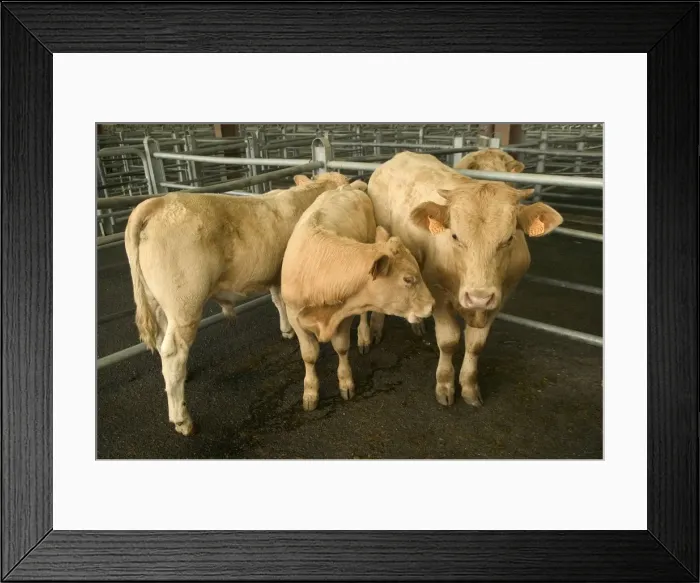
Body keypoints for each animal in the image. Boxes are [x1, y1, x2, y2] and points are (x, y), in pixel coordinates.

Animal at [124, 172, 350, 435]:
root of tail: (157, 203)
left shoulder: (275, 275)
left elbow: (278, 301)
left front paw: (286, 330)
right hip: (184, 306)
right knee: (174, 351)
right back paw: (182, 419)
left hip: (157, 303)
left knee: (162, 344)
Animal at [281, 180, 435, 412]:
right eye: (408, 279)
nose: (432, 305)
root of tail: (347, 186)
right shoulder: (294, 316)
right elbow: (309, 356)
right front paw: (310, 393)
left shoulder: (346, 312)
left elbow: (342, 347)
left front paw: (346, 383)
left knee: (364, 315)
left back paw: (364, 337)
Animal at [363, 151, 562, 407]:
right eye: (455, 236)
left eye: (509, 238)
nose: (478, 297)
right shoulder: (436, 291)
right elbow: (448, 341)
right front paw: (445, 385)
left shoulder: (500, 299)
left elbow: (476, 344)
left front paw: (469, 387)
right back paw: (376, 329)